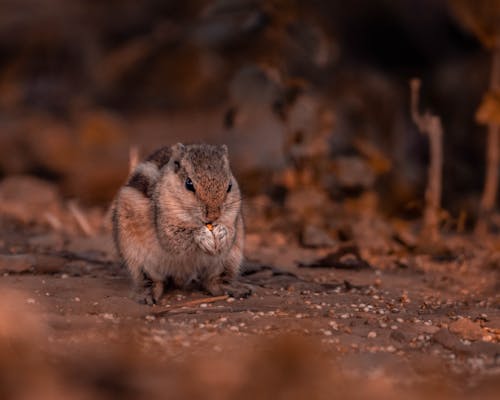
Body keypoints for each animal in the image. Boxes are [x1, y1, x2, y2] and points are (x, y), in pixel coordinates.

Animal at [110, 143, 249, 304]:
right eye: (189, 184)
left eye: (230, 185)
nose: (213, 216)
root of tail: (180, 274)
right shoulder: (166, 225)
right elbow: (176, 240)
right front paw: (202, 236)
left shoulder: (233, 219)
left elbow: (230, 233)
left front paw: (222, 233)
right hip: (136, 256)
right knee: (151, 279)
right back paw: (147, 294)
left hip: (230, 259)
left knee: (213, 281)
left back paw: (235, 289)